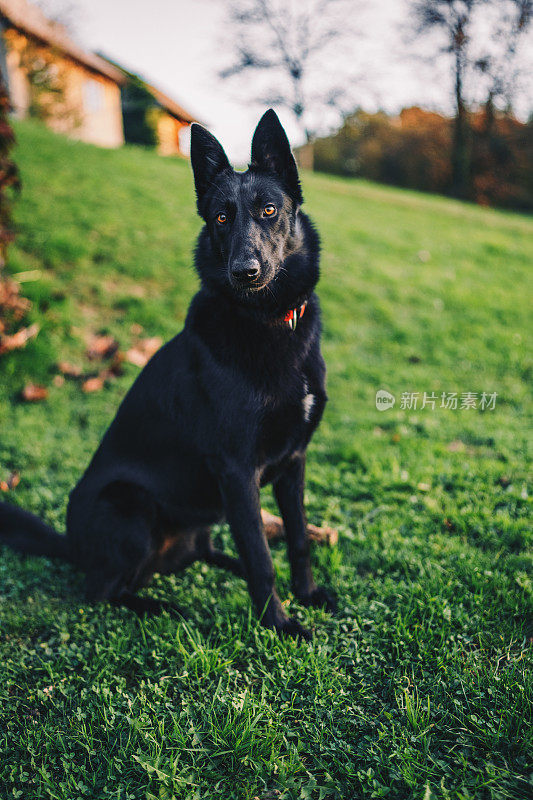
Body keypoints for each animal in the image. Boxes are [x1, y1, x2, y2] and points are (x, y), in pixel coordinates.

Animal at [0, 109, 332, 640]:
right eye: (221, 218)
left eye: (269, 210)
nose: (245, 271)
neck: (266, 321)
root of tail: (72, 546)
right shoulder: (237, 472)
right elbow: (262, 559)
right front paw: (280, 625)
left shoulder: (293, 461)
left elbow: (295, 539)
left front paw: (305, 596)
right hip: (129, 505)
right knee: (101, 592)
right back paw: (166, 609)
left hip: (200, 519)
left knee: (205, 553)